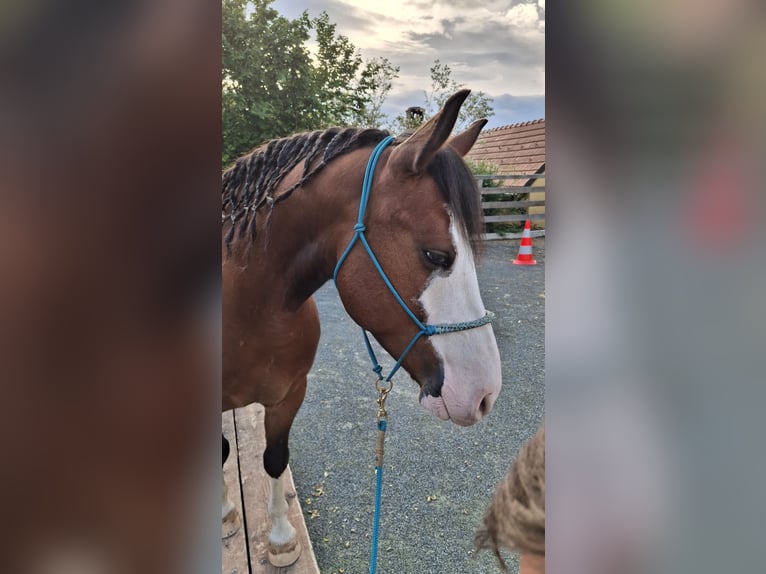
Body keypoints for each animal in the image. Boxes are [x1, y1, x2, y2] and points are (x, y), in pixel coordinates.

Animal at [222, 90, 503, 566]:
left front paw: (280, 537)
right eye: (435, 255)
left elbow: (275, 457)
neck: (249, 310)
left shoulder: (289, 394)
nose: (485, 395)